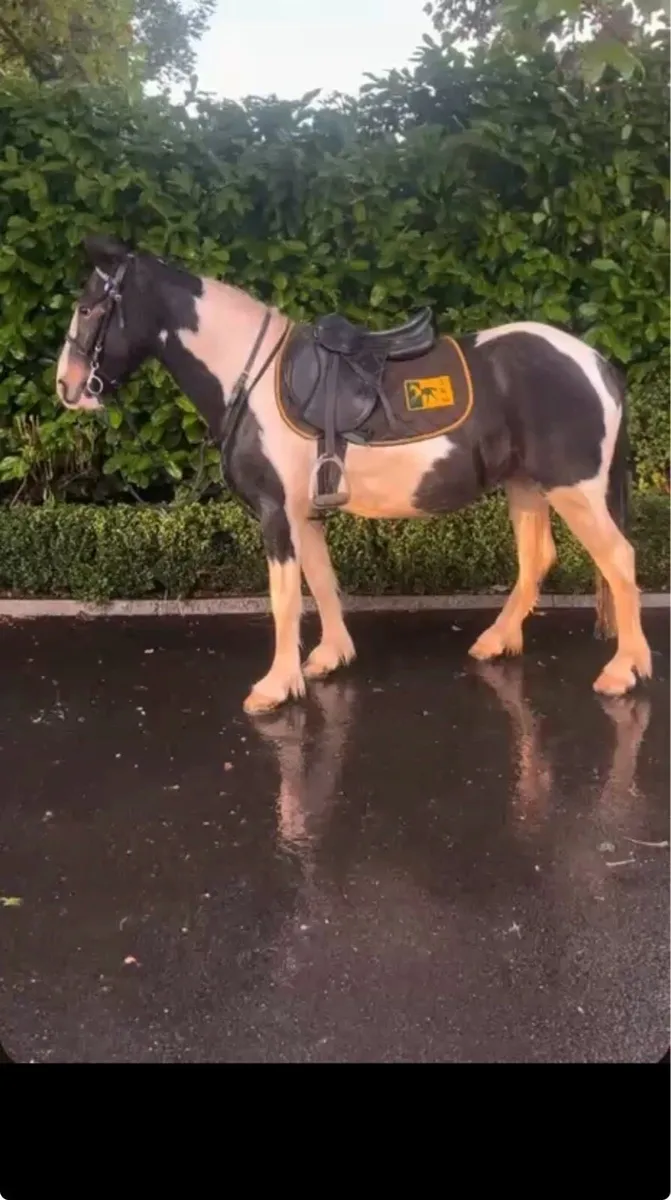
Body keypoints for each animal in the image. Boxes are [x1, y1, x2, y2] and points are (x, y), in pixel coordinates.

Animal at [55, 233, 652, 714]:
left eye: (87, 307)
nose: (67, 385)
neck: (251, 378)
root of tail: (597, 363)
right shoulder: (304, 514)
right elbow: (321, 581)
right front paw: (330, 657)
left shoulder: (275, 514)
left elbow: (284, 596)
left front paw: (275, 688)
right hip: (527, 486)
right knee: (537, 558)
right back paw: (497, 641)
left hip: (575, 490)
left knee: (618, 559)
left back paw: (624, 671)